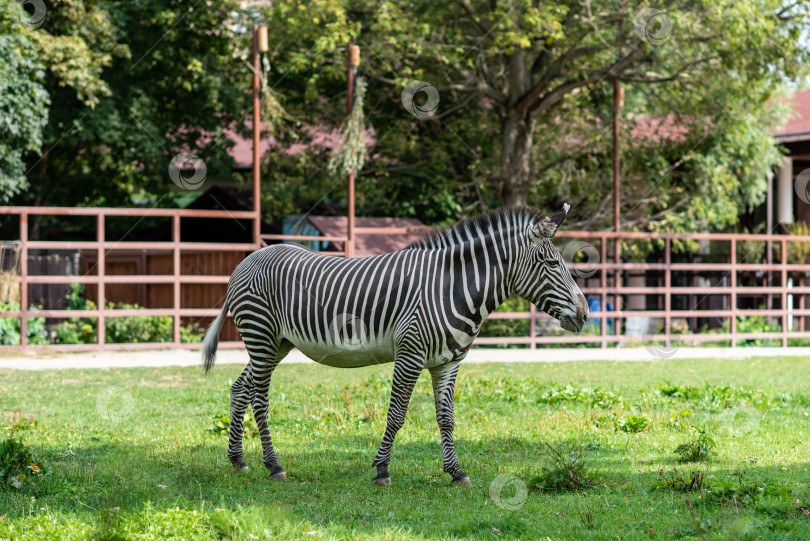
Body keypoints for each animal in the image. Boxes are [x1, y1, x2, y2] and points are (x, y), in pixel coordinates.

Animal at [199, 205, 584, 488]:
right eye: (552, 263)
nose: (583, 314)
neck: (452, 287)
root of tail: (246, 260)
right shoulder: (410, 354)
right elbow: (397, 414)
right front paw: (382, 470)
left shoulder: (448, 362)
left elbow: (447, 419)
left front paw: (456, 472)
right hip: (261, 335)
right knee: (259, 399)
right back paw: (274, 465)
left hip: (275, 343)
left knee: (240, 389)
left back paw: (237, 459)